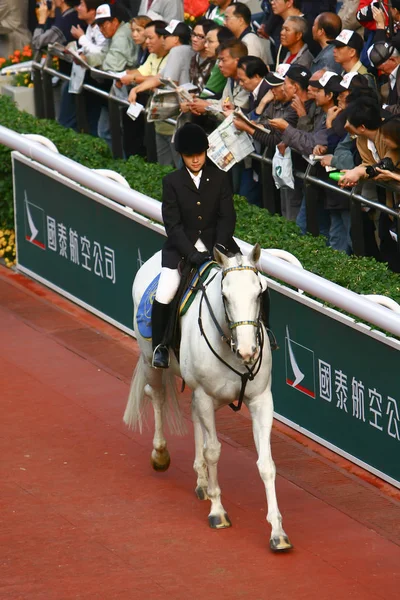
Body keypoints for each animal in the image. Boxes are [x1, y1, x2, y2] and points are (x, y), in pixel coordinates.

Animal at [123, 241, 292, 552]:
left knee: (192, 415)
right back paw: (160, 454)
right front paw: (218, 511)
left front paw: (277, 531)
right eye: (224, 296)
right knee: (157, 396)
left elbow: (266, 464)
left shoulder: (261, 400)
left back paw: (201, 479)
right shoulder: (205, 395)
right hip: (150, 361)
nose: (248, 351)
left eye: (259, 293)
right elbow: (213, 451)